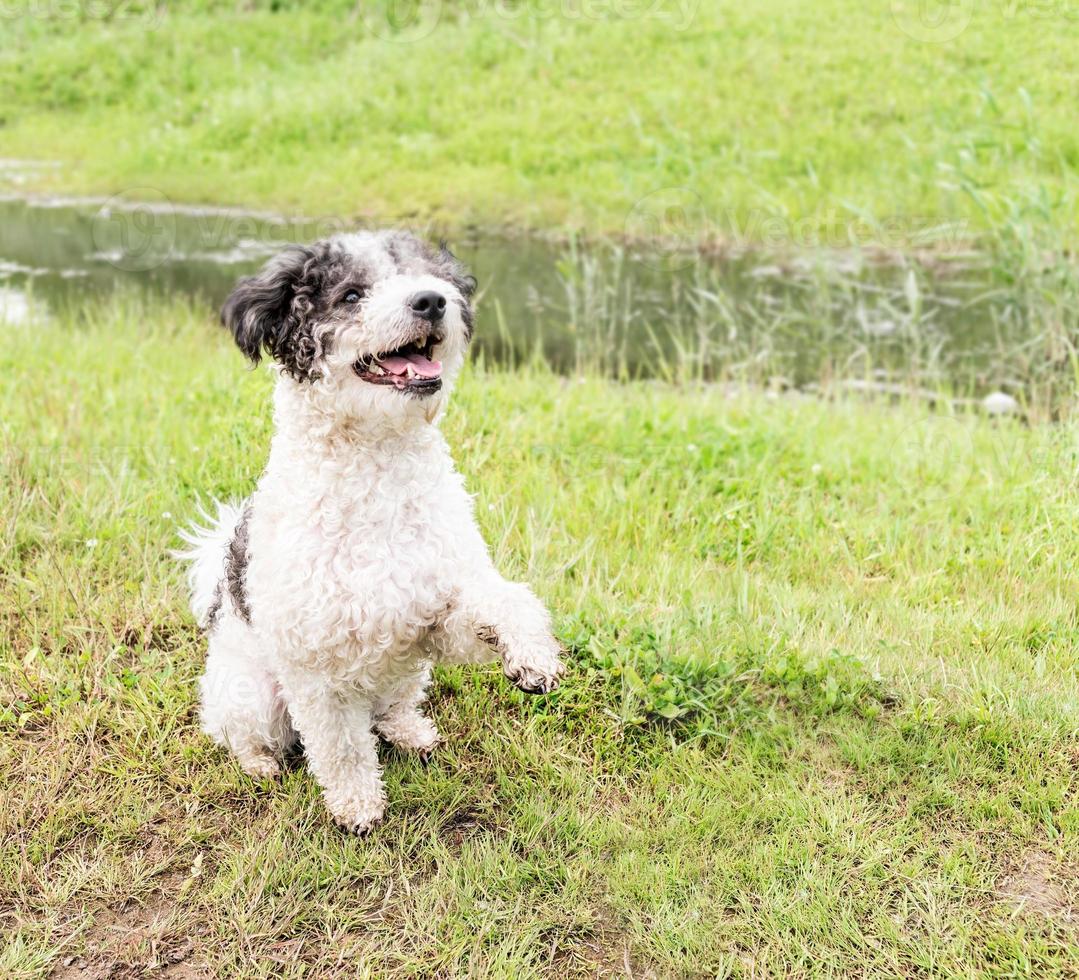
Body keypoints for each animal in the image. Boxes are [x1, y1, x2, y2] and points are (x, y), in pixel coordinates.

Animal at [176, 232, 565, 833]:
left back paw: (410, 730)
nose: (432, 301)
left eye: (432, 278)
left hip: (406, 671)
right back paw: (260, 762)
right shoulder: (315, 668)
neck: (379, 476)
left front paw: (533, 655)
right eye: (352, 294)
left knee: (392, 706)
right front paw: (358, 805)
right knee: (239, 731)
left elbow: (505, 600)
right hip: (253, 694)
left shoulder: (431, 613)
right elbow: (340, 748)